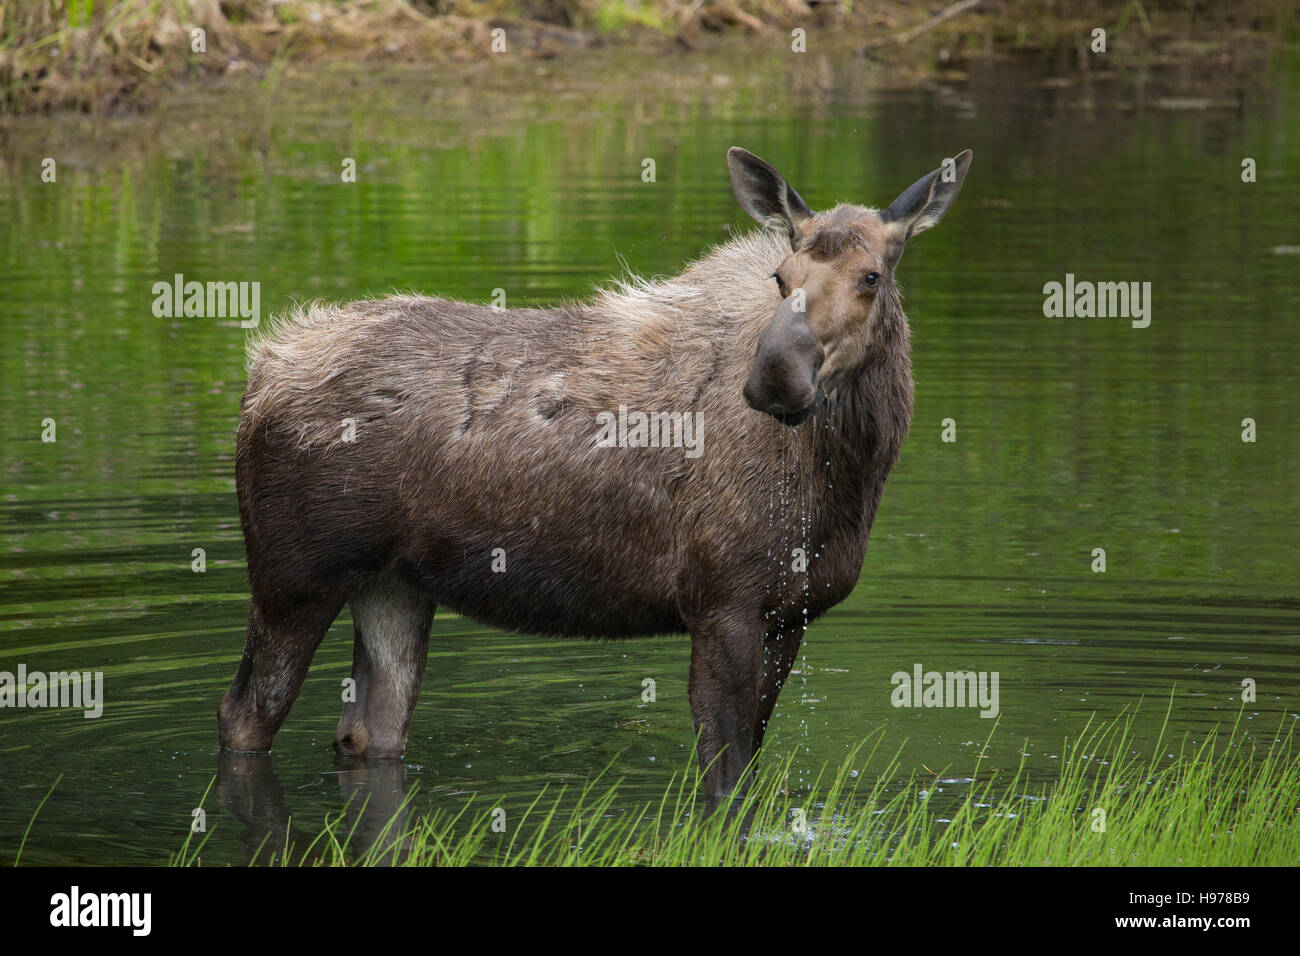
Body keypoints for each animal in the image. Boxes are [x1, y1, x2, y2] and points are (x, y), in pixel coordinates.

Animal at [223, 147, 972, 806]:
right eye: (781, 277)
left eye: (871, 276)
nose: (775, 377)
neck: (846, 480)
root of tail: (261, 370)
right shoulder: (722, 601)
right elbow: (725, 780)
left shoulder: (789, 613)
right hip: (293, 577)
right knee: (242, 716)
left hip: (392, 584)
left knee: (366, 733)